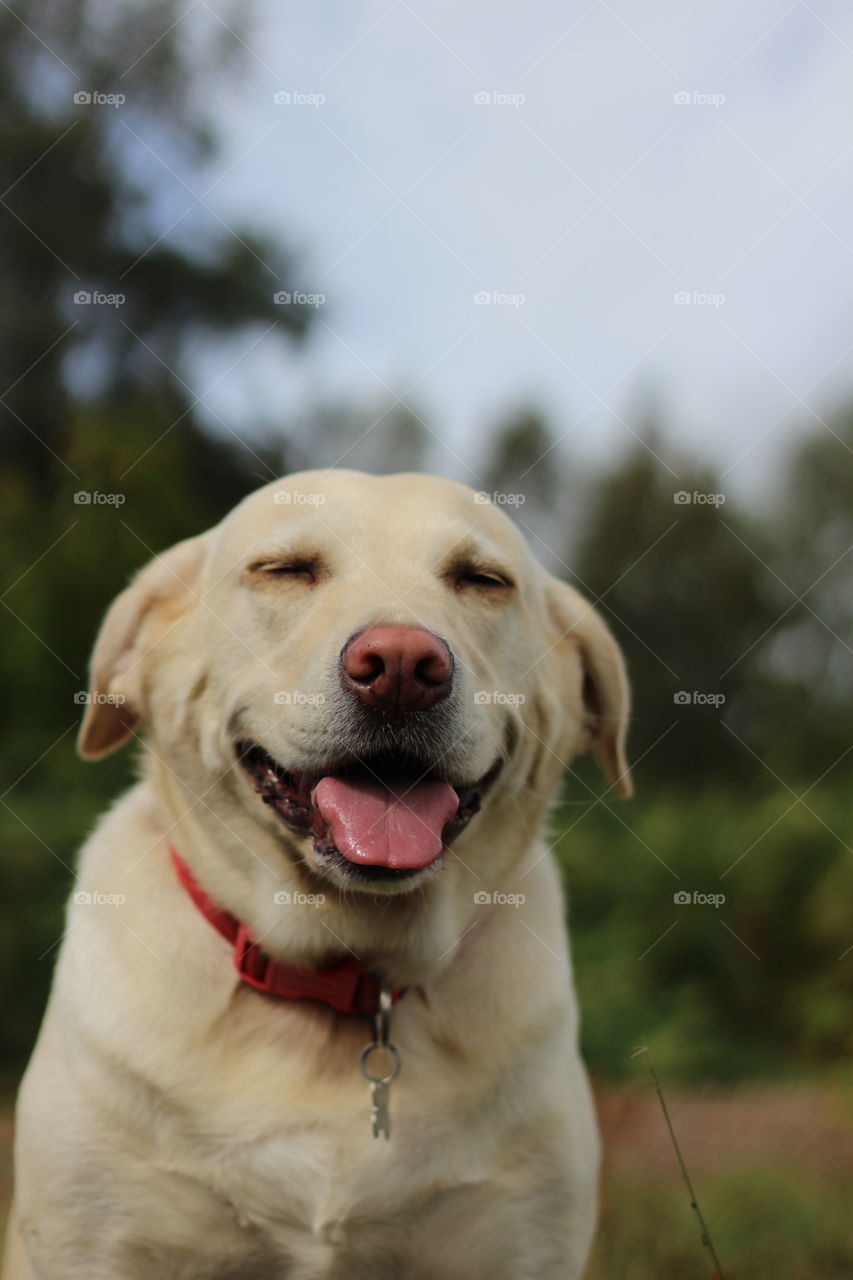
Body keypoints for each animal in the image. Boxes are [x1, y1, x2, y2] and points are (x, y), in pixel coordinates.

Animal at [3, 471, 627, 1280]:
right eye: (285, 569)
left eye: (482, 580)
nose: (401, 667)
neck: (342, 968)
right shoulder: (95, 1244)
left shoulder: (523, 1243)